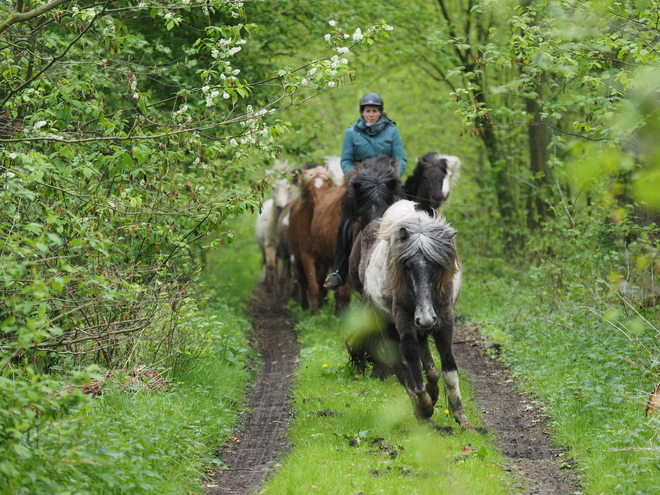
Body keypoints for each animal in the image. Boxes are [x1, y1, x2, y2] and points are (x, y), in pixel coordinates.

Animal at [288, 166, 336, 314]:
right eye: (309, 190)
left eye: (327, 188)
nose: (321, 206)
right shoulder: (306, 255)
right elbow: (312, 284)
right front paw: (314, 313)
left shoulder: (325, 258)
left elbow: (320, 283)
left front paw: (320, 306)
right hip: (298, 258)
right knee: (302, 280)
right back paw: (304, 305)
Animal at [348, 200, 476, 432]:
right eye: (406, 266)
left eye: (436, 265)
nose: (425, 319)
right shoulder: (404, 320)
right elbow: (410, 359)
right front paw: (424, 405)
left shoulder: (444, 320)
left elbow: (448, 367)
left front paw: (462, 419)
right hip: (388, 324)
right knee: (400, 366)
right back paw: (423, 413)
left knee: (428, 365)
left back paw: (433, 395)